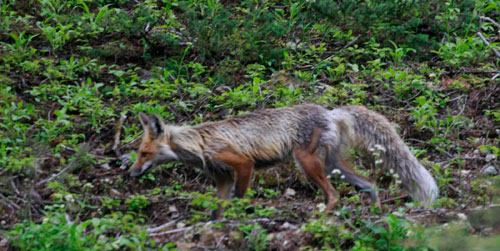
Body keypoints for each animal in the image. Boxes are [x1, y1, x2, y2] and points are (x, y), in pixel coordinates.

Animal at [129, 105, 438, 219]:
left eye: (143, 153)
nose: (129, 172)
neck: (200, 145)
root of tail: (331, 111)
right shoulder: (222, 180)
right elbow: (217, 212)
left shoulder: (243, 164)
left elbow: (239, 201)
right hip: (332, 167)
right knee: (371, 183)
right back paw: (375, 213)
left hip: (308, 164)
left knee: (334, 195)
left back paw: (319, 218)